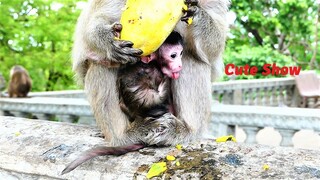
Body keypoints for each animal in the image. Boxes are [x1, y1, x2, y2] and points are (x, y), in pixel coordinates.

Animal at [72, 0, 229, 146]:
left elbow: (214, 46)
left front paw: (196, 13)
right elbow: (96, 20)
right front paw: (108, 40)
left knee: (192, 57)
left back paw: (185, 129)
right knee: (103, 63)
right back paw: (123, 136)